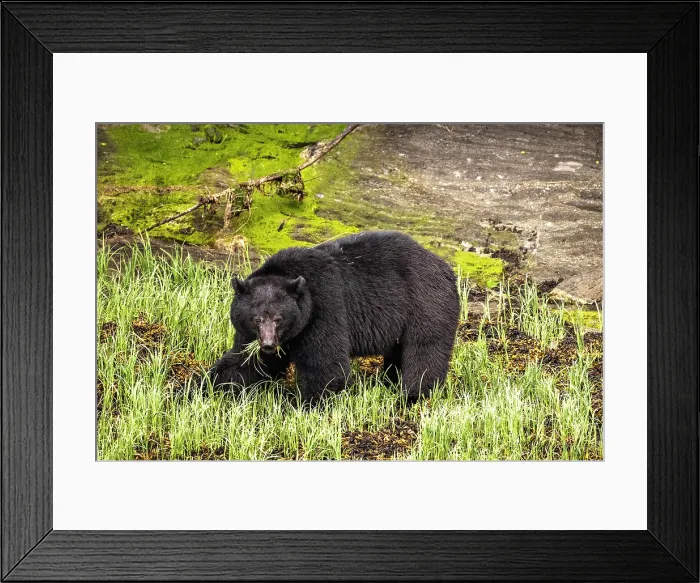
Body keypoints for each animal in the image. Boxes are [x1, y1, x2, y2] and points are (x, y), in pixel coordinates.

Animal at [207, 230, 460, 402]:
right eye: (256, 318)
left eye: (279, 318)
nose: (269, 344)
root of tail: (446, 268)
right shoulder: (257, 333)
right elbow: (245, 361)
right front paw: (205, 386)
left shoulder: (324, 308)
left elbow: (326, 365)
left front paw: (305, 405)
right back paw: (390, 381)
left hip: (426, 304)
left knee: (424, 351)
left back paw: (414, 394)